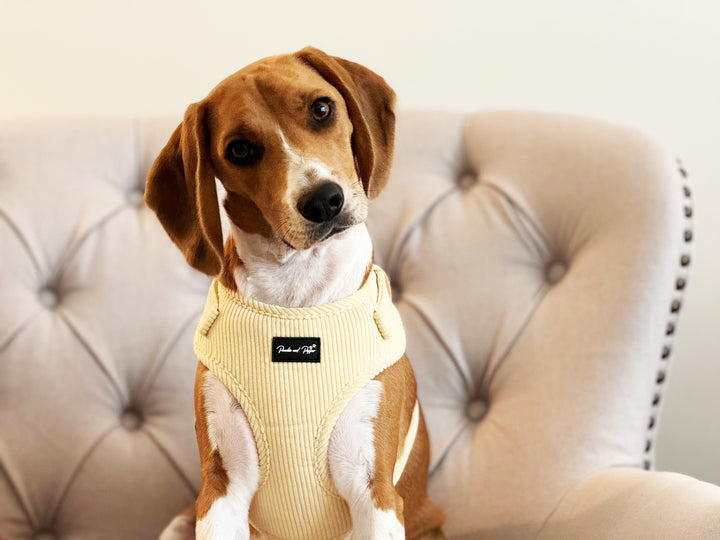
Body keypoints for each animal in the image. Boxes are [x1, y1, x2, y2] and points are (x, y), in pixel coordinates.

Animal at [146, 47, 444, 540]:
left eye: (322, 109)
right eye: (240, 149)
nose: (323, 200)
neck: (297, 296)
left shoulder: (373, 492)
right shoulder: (221, 492)